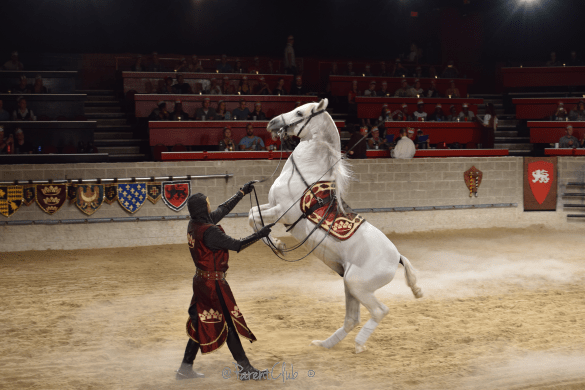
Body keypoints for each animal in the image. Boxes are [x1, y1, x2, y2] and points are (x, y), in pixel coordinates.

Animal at [246, 98, 420, 354]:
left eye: (300, 113)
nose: (273, 122)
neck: (306, 174)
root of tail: (397, 257)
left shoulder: (281, 211)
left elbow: (254, 219)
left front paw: (277, 244)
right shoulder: (272, 206)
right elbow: (252, 215)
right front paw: (276, 244)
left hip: (357, 285)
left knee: (379, 311)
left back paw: (358, 344)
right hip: (349, 285)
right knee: (352, 319)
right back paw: (324, 344)